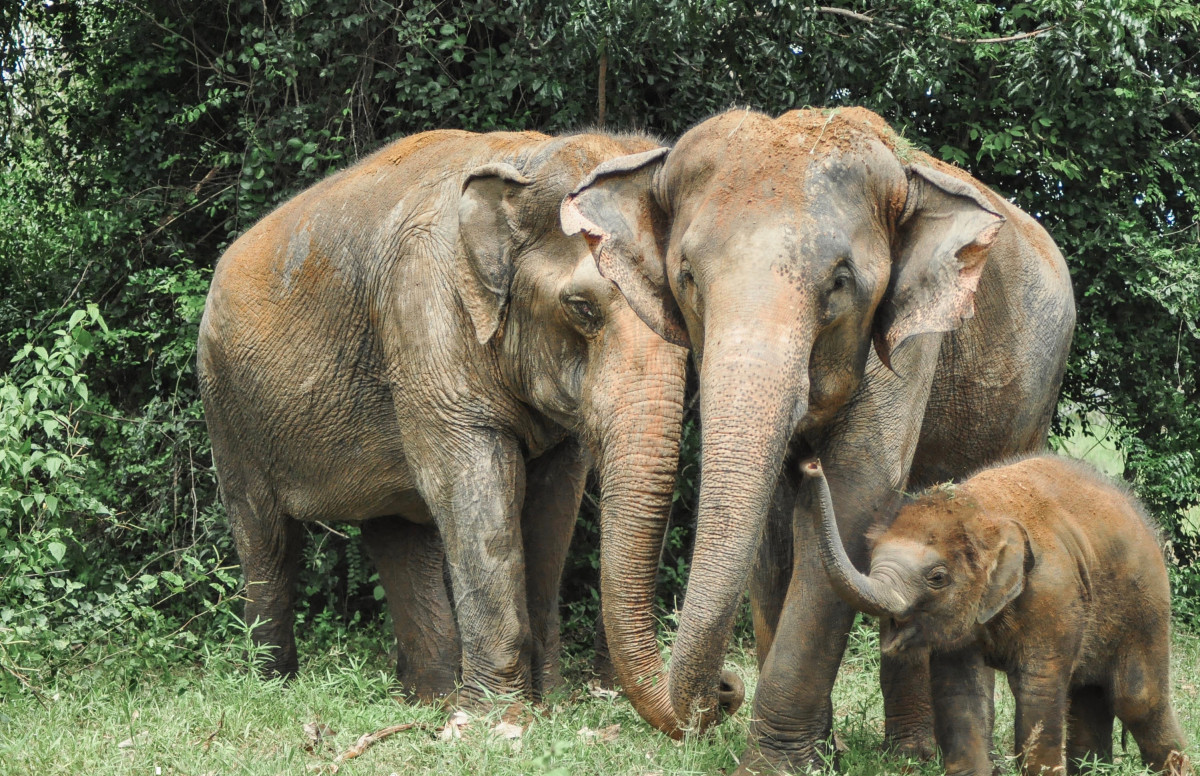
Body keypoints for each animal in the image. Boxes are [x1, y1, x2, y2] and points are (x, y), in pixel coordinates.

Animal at [199, 128, 720, 714]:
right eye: (582, 308)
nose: (726, 691)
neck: (526, 160)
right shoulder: (425, 311)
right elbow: (472, 480)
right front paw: (497, 715)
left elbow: (553, 497)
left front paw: (543, 704)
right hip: (226, 402)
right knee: (265, 535)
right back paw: (274, 686)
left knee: (396, 533)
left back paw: (430, 699)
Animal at [561, 104, 1080, 772]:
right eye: (687, 277)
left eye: (840, 282)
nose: (726, 688)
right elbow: (774, 530)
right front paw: (814, 753)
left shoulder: (910, 340)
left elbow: (857, 492)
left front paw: (774, 764)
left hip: (1036, 390)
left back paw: (917, 754)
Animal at [806, 455, 1190, 776]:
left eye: (937, 577)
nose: (812, 465)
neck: (983, 513)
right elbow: (961, 692)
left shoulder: (1053, 593)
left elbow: (1037, 690)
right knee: (1089, 695)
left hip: (1147, 601)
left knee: (1137, 699)